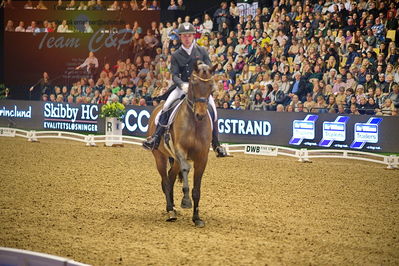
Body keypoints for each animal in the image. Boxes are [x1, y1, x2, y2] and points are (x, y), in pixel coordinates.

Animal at [147, 61, 217, 228]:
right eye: (193, 83)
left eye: (211, 85)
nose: (200, 115)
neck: (195, 124)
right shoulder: (181, 152)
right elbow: (186, 170)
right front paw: (185, 201)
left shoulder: (202, 158)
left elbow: (197, 189)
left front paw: (196, 218)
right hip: (159, 156)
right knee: (165, 181)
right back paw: (170, 211)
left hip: (175, 160)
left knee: (170, 178)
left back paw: (172, 207)